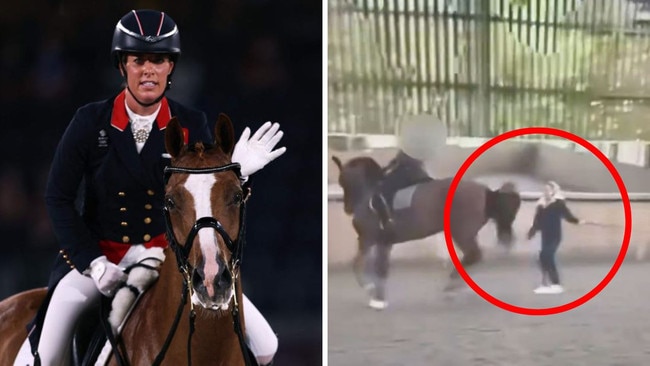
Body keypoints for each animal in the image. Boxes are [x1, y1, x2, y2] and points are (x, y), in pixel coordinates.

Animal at [332, 154, 520, 308]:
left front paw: (374, 295)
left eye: (342, 181)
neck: (369, 197)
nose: (347, 209)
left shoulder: (372, 239)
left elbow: (367, 266)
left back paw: (451, 287)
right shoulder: (377, 242)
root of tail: (488, 192)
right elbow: (370, 266)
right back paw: (457, 287)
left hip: (461, 233)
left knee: (474, 255)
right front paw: (375, 294)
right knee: (473, 257)